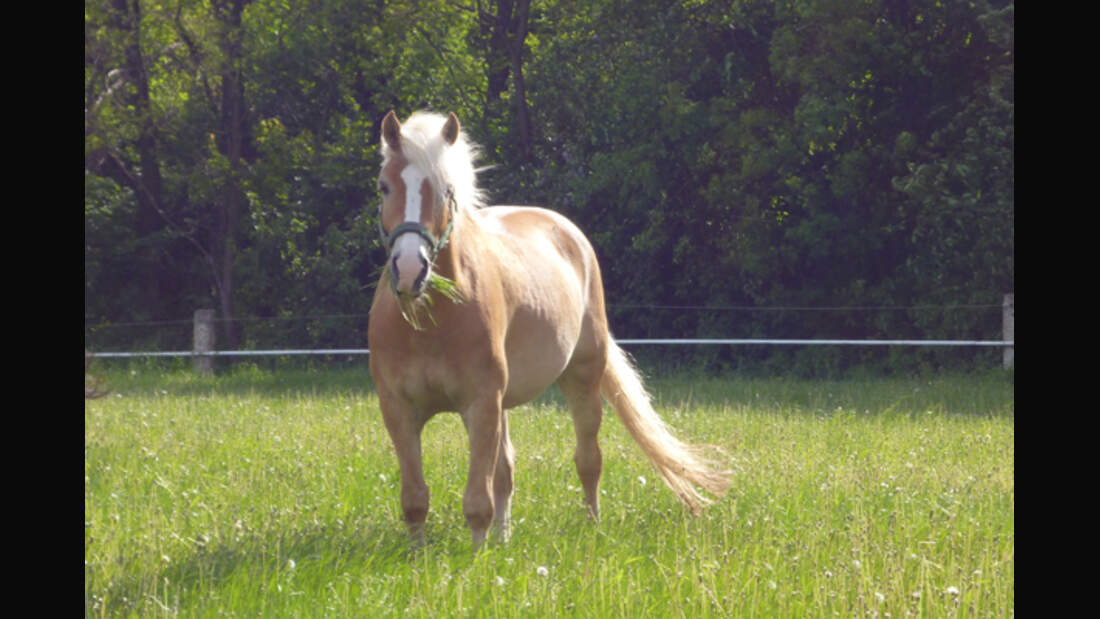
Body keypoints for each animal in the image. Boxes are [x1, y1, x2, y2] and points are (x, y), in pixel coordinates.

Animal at [369, 108, 730, 549]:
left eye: (445, 190)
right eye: (384, 187)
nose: (409, 270)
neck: (429, 323)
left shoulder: (481, 405)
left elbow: (477, 501)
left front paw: (477, 558)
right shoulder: (399, 410)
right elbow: (416, 499)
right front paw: (421, 555)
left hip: (582, 379)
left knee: (588, 461)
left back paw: (592, 526)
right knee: (506, 471)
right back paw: (505, 539)